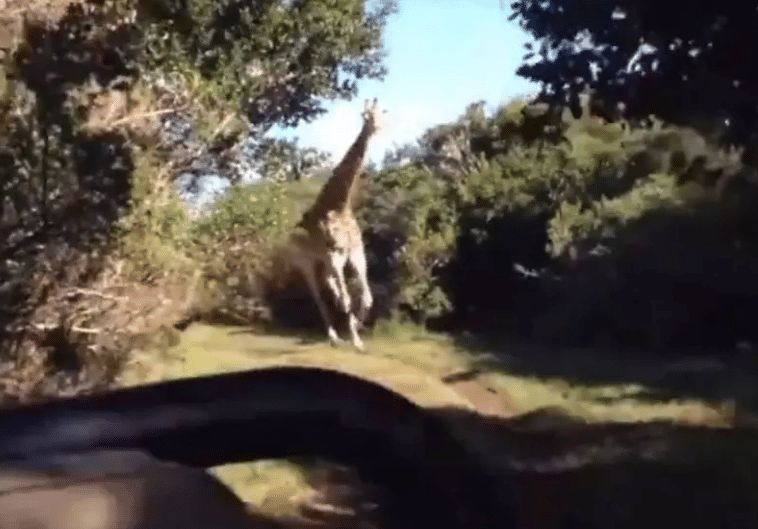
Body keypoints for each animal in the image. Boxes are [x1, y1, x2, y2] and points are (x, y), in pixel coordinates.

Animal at [279, 98, 385, 350]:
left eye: (382, 113)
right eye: (368, 116)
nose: (378, 127)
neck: (338, 205)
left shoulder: (354, 251)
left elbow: (367, 298)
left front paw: (359, 326)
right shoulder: (334, 255)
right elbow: (348, 299)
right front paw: (355, 339)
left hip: (323, 261)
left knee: (329, 285)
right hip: (304, 263)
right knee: (317, 294)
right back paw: (333, 336)